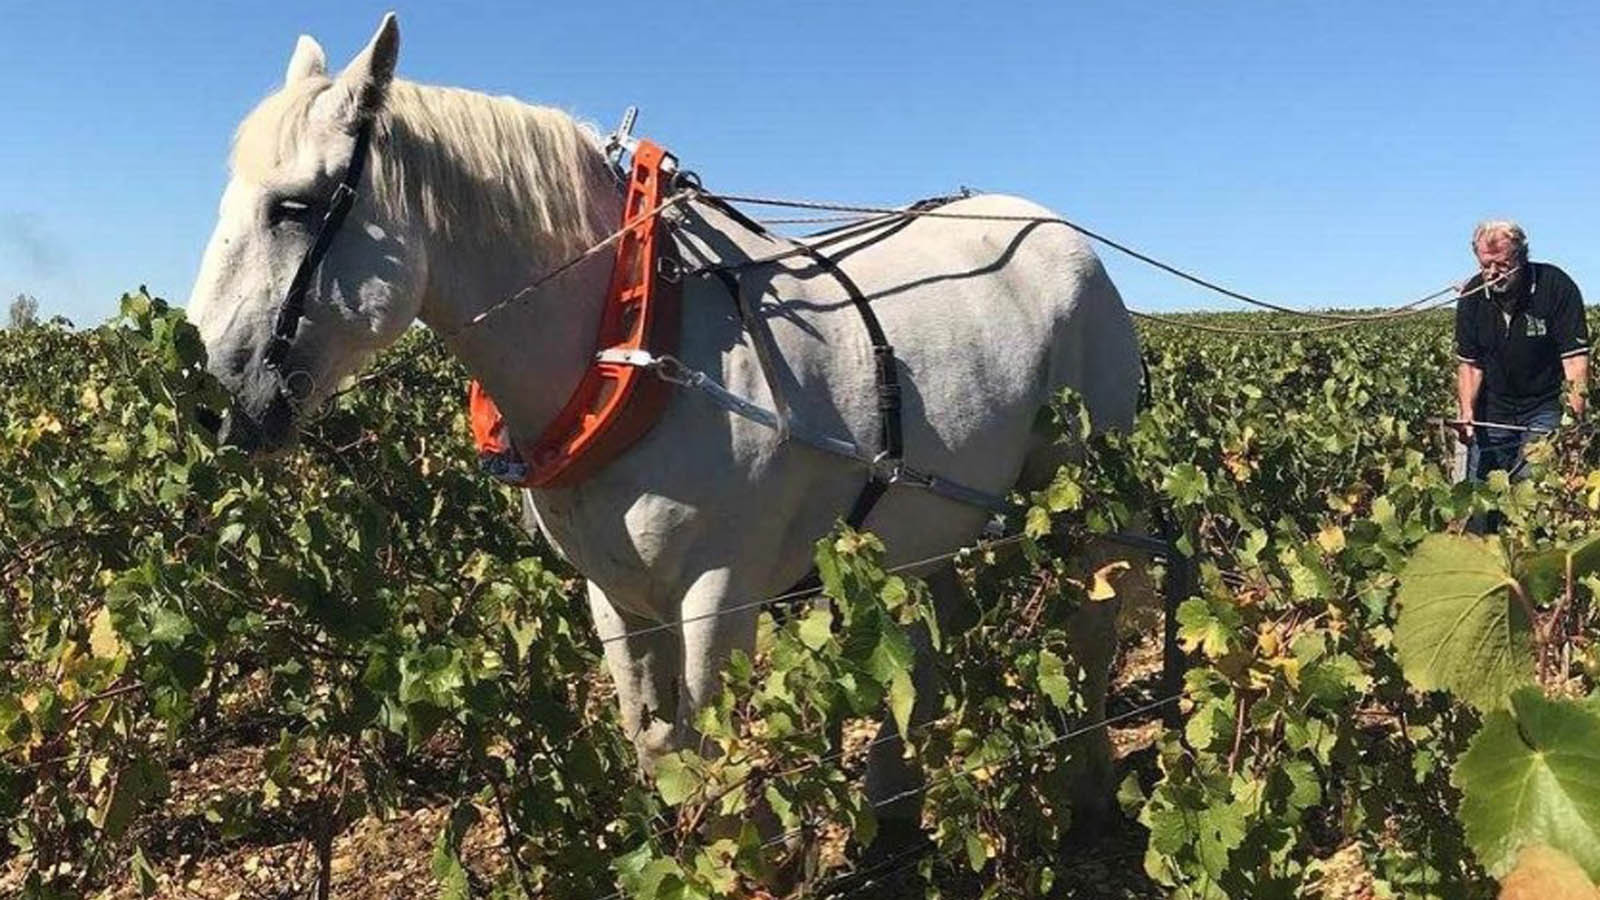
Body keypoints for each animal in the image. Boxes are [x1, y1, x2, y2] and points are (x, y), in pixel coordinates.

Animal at [187, 12, 1145, 839]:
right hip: (928, 521)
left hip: (1085, 492)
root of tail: (1059, 231)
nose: (205, 402)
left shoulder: (721, 592)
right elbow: (659, 746)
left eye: (295, 206)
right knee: (922, 646)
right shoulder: (613, 596)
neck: (637, 343)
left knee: (1092, 626)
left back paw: (1091, 786)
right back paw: (894, 804)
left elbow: (715, 756)